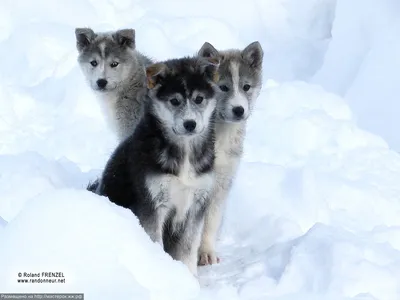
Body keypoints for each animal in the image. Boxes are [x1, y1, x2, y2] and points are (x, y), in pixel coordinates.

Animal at [95, 54, 223, 274]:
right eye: (174, 101)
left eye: (199, 99)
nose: (190, 124)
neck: (184, 152)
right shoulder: (152, 202)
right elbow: (155, 242)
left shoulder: (197, 204)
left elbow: (188, 249)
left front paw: (189, 276)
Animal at [196, 41, 264, 266]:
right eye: (223, 87)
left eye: (246, 87)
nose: (239, 110)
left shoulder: (222, 183)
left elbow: (211, 221)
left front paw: (206, 252)